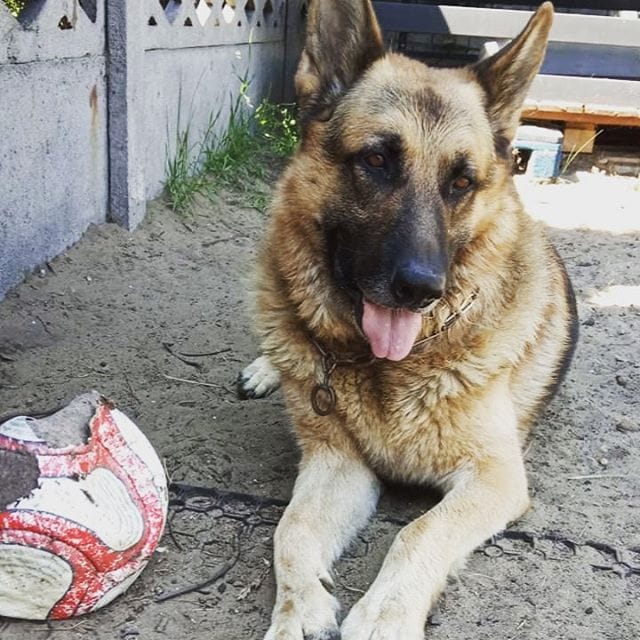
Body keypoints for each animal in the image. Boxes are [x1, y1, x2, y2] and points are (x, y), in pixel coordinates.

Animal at [239, 1, 578, 637]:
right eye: (375, 160)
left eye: (461, 182)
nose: (421, 289)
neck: (387, 366)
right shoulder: (337, 462)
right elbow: (291, 529)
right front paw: (298, 612)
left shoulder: (494, 478)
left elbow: (420, 532)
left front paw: (385, 614)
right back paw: (268, 367)